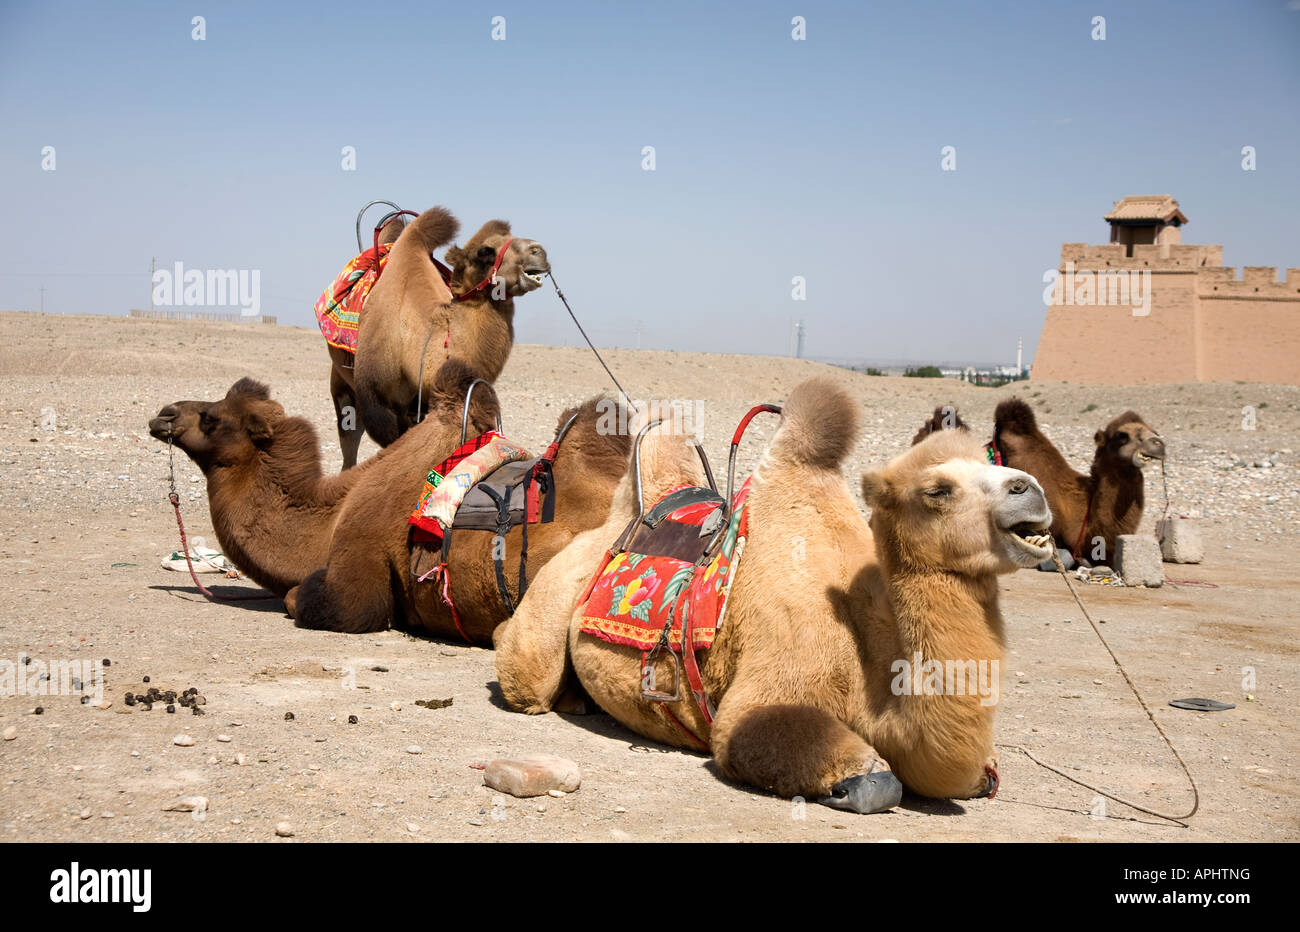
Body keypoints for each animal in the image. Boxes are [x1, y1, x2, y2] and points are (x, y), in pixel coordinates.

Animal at [496, 374, 1055, 811]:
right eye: (937, 490)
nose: (1030, 487)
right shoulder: (780, 663)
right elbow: (868, 779)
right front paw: (857, 778)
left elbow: (978, 776)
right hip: (552, 600)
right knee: (526, 672)